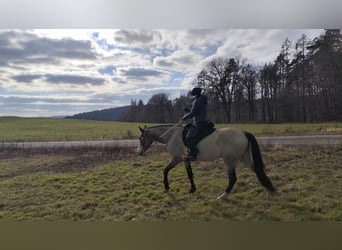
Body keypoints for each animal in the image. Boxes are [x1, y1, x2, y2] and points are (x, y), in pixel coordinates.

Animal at [138, 124, 276, 200]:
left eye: (141, 138)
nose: (139, 153)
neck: (171, 135)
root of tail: (243, 133)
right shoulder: (185, 160)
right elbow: (190, 174)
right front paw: (192, 189)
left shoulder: (176, 158)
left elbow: (165, 170)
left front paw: (167, 187)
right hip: (244, 158)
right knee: (258, 171)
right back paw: (270, 189)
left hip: (229, 160)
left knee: (233, 179)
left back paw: (223, 196)